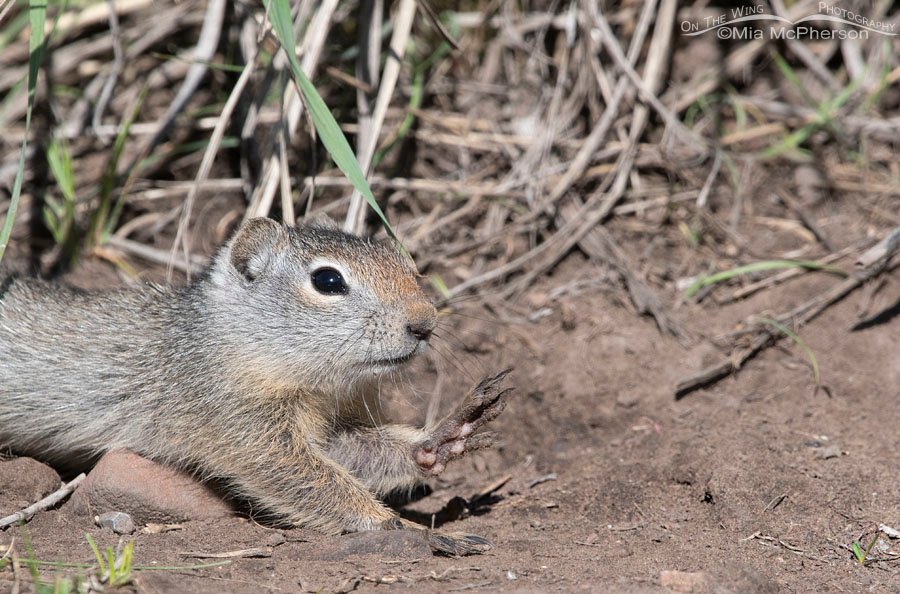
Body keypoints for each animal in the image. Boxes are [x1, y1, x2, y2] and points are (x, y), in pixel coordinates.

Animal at [0, 217, 513, 555]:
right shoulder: (241, 423)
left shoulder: (319, 425)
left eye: (409, 266)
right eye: (328, 280)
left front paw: (440, 439)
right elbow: (306, 477)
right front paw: (404, 527)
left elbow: (353, 453)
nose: (425, 323)